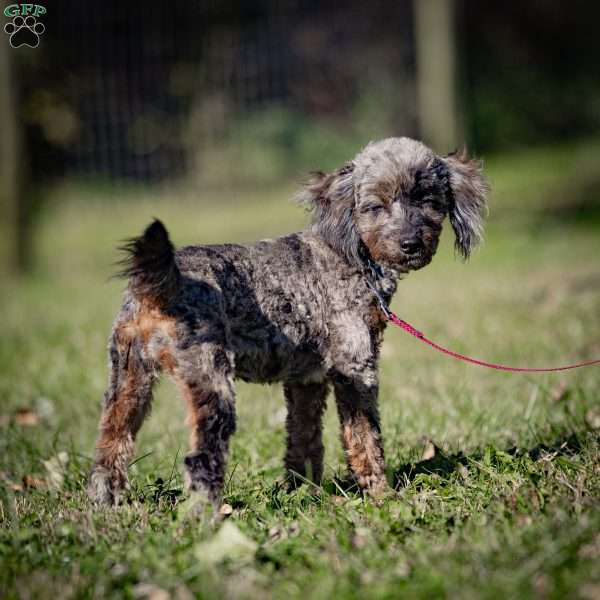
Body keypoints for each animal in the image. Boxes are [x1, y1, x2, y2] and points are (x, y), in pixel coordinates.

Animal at [88, 137, 488, 510]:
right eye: (375, 206)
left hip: (128, 382)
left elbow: (304, 441)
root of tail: (163, 283)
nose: (410, 243)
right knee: (200, 459)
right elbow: (365, 439)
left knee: (110, 445)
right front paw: (381, 496)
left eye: (428, 200)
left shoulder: (306, 381)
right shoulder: (356, 370)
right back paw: (209, 518)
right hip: (210, 382)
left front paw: (302, 492)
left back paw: (105, 505)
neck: (352, 255)